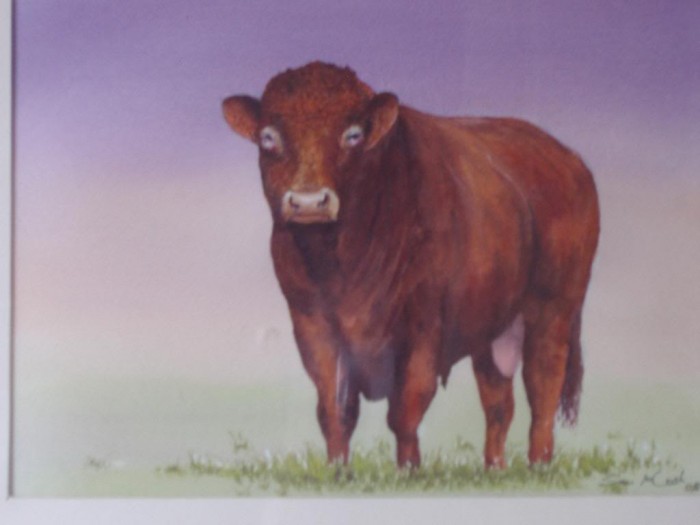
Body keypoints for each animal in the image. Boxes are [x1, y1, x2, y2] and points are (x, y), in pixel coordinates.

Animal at [221, 61, 599, 469]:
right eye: (268, 137)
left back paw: (538, 464)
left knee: (543, 385)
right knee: (498, 397)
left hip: (553, 309)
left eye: (353, 134)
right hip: (494, 322)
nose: (309, 202)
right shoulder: (313, 324)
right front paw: (339, 470)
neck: (341, 267)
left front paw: (409, 470)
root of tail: (567, 158)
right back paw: (494, 468)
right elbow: (335, 410)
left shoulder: (423, 328)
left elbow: (405, 409)